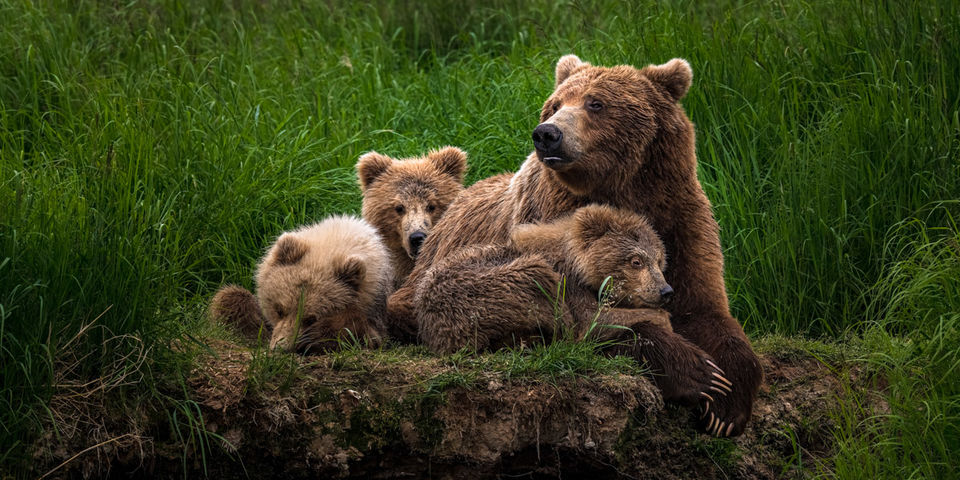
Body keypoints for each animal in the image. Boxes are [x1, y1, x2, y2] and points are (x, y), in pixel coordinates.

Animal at [416, 204, 680, 354]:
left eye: (659, 260)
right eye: (636, 261)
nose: (666, 291)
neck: (578, 263)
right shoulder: (568, 283)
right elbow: (591, 321)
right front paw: (666, 321)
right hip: (487, 291)